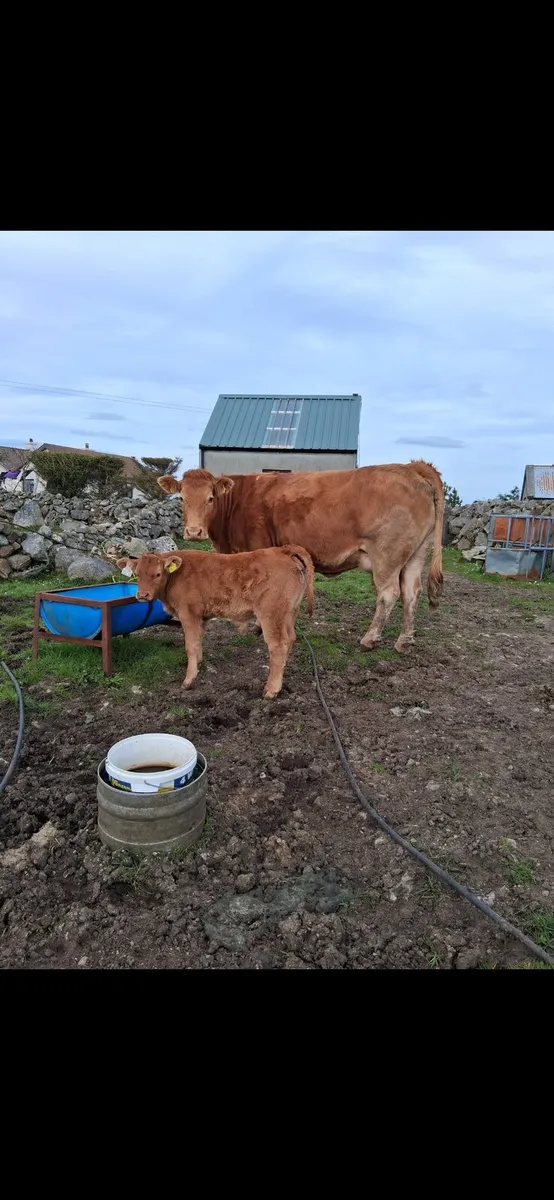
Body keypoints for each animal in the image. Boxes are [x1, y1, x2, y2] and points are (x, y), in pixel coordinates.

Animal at [117, 546, 315, 699]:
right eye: (137, 574)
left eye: (157, 574)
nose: (142, 595)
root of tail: (282, 549)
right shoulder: (201, 617)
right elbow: (198, 642)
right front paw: (198, 664)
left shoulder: (188, 614)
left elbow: (190, 645)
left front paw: (189, 680)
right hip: (289, 612)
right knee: (290, 638)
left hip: (271, 614)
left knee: (278, 645)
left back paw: (271, 690)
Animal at [158, 460, 444, 654]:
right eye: (181, 498)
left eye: (210, 498)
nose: (194, 532)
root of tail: (411, 467)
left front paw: (258, 627)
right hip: (416, 555)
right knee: (411, 593)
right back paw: (404, 641)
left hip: (387, 556)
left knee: (388, 594)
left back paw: (369, 639)